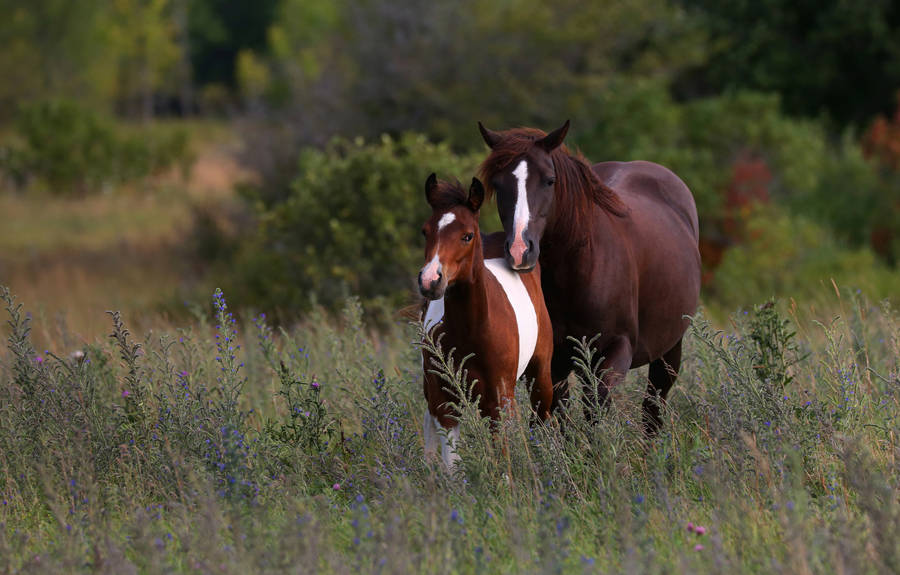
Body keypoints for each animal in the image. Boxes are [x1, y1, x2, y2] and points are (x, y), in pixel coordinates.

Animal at [418, 174, 554, 469]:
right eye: (425, 231)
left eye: (467, 235)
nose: (430, 280)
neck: (472, 331)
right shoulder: (445, 400)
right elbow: (452, 465)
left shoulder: (499, 400)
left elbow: (503, 456)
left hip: (540, 375)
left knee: (541, 419)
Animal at [477, 121, 701, 433]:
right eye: (498, 185)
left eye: (549, 180)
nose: (520, 250)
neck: (578, 271)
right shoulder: (552, 362)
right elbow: (557, 415)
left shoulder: (614, 352)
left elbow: (595, 413)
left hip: (668, 350)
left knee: (652, 409)